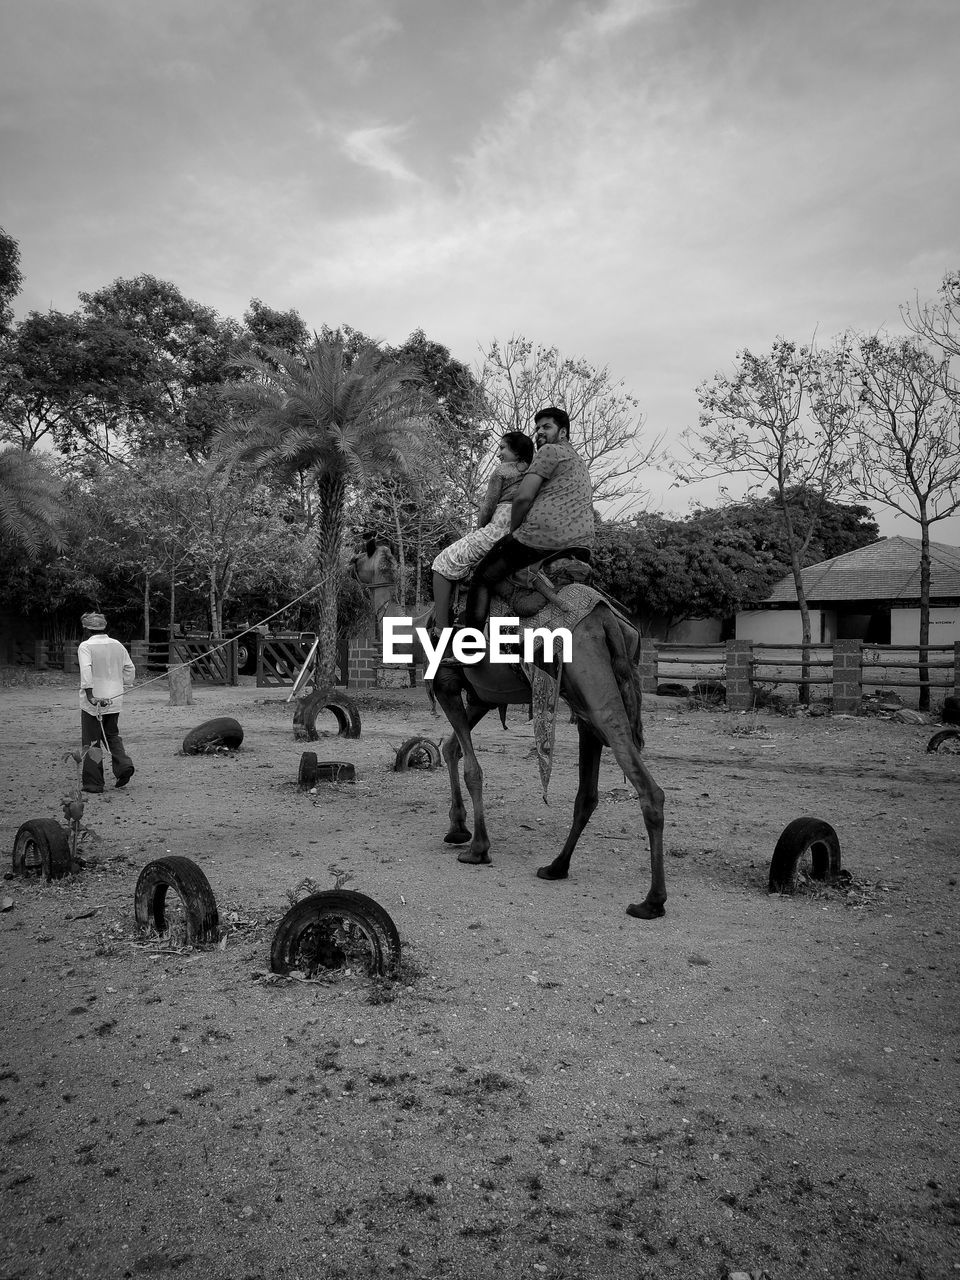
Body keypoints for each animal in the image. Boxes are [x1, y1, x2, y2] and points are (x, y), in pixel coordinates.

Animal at [432, 588, 665, 921]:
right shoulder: (483, 698)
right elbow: (452, 749)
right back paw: (557, 867)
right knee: (588, 794)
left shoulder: (446, 684)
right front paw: (457, 828)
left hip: (596, 698)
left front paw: (478, 848)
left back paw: (652, 901)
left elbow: (472, 769)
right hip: (587, 705)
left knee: (648, 789)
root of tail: (606, 619)